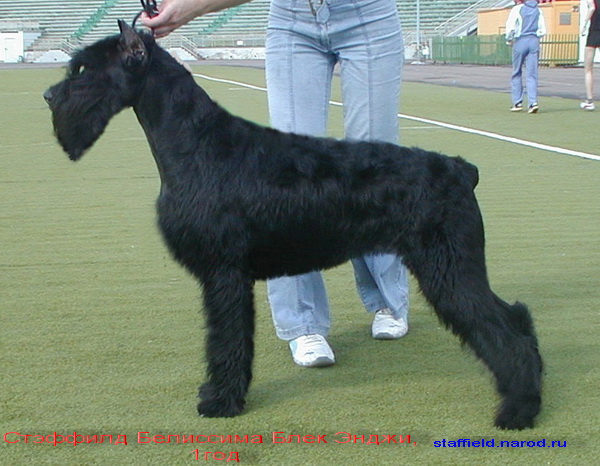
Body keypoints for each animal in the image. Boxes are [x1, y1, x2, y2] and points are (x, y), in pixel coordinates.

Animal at [44, 20, 542, 430]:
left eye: (83, 70)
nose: (49, 96)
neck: (197, 142)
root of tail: (460, 169)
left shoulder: (224, 274)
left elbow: (227, 341)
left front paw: (221, 402)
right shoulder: (224, 276)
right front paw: (218, 393)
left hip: (450, 271)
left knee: (502, 330)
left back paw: (518, 411)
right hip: (456, 269)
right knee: (516, 318)